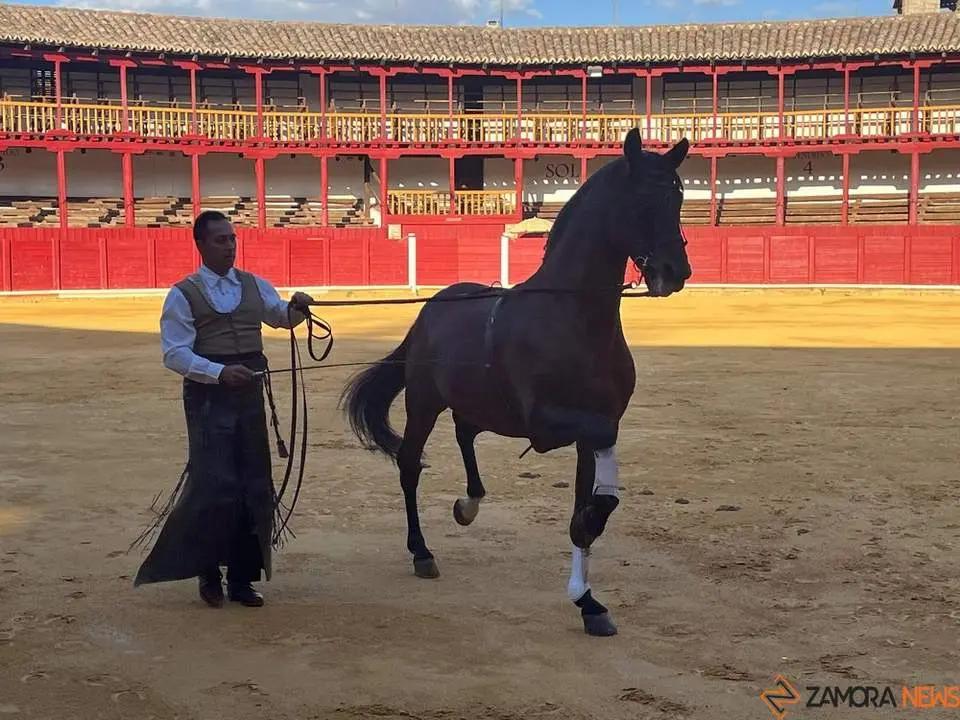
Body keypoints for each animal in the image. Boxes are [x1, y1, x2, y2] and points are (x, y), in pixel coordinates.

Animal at [339, 128, 692, 637]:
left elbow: (586, 510)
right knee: (409, 464)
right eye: (643, 200)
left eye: (679, 198)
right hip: (424, 403)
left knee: (466, 431)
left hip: (477, 403)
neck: (575, 317)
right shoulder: (550, 425)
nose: (675, 273)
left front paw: (589, 603)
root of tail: (431, 308)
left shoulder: (591, 427)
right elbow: (593, 500)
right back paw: (422, 552)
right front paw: (587, 570)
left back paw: (468, 504)